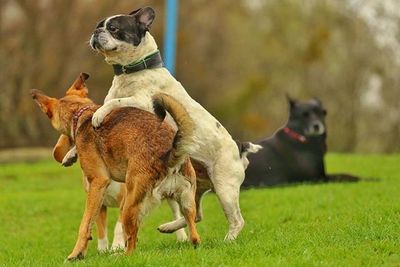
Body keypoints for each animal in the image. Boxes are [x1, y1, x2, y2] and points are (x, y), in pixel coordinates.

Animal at [32, 73, 200, 262]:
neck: (81, 114)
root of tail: (169, 156)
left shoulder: (98, 183)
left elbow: (85, 224)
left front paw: (75, 254)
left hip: (129, 204)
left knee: (132, 244)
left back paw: (120, 255)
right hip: (186, 202)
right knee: (194, 236)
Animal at [76, 6, 260, 242]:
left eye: (114, 28)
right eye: (99, 25)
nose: (96, 31)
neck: (134, 70)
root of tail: (240, 147)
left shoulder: (144, 102)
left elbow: (115, 103)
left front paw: (98, 115)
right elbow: (109, 103)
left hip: (225, 188)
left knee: (237, 220)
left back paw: (228, 240)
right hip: (196, 186)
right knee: (196, 215)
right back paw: (169, 227)